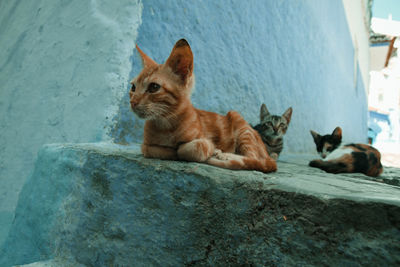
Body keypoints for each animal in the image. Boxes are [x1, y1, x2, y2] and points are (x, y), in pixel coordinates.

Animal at [130, 39, 276, 174]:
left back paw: (224, 155)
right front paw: (169, 151)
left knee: (256, 160)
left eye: (154, 87)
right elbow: (152, 149)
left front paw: (210, 151)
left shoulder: (204, 141)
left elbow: (188, 149)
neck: (166, 125)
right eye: (133, 87)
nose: (132, 102)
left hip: (239, 123)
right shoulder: (146, 145)